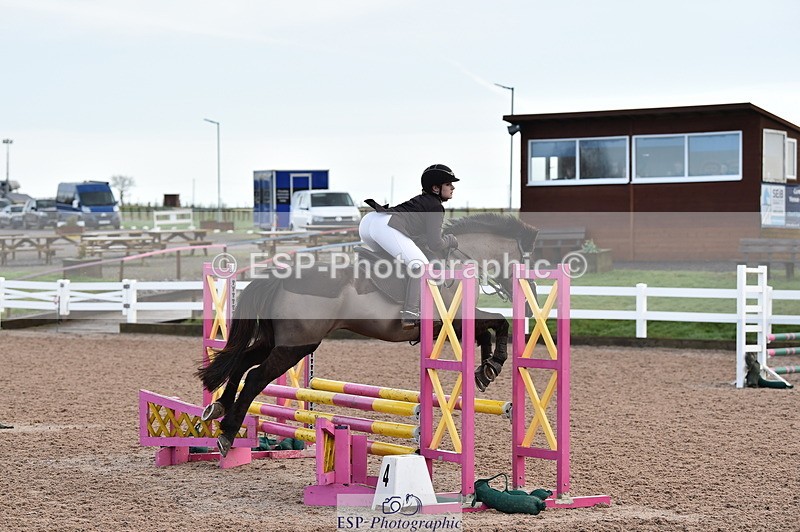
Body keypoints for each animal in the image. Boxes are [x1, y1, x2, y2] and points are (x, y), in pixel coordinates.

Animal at [198, 213, 539, 456]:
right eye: (526, 260)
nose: (530, 298)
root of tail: (281, 277)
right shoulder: (449, 320)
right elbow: (499, 323)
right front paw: (494, 364)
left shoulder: (452, 324)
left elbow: (489, 329)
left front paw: (486, 370)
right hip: (297, 345)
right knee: (255, 376)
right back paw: (227, 433)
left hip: (281, 341)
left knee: (241, 361)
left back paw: (218, 407)